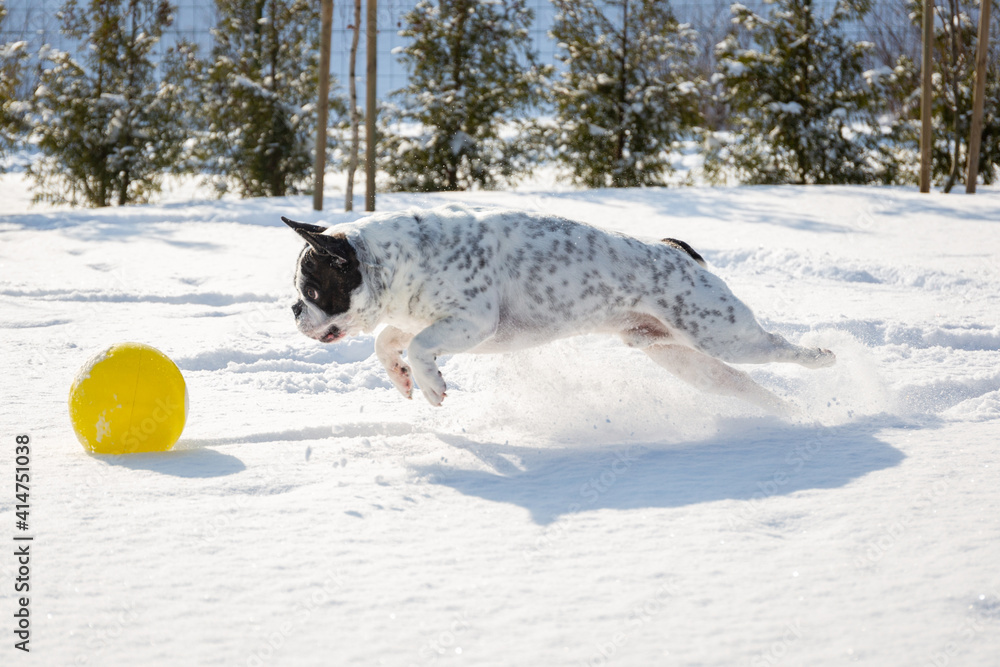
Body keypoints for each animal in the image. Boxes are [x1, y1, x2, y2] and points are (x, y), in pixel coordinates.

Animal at [284, 204, 836, 412]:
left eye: (311, 288)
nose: (292, 309)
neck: (394, 259)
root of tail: (675, 249)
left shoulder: (472, 322)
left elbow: (418, 345)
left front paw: (432, 385)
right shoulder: (418, 319)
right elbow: (387, 341)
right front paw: (403, 380)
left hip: (723, 333)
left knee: (781, 348)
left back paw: (825, 359)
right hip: (676, 354)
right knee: (740, 384)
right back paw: (787, 412)